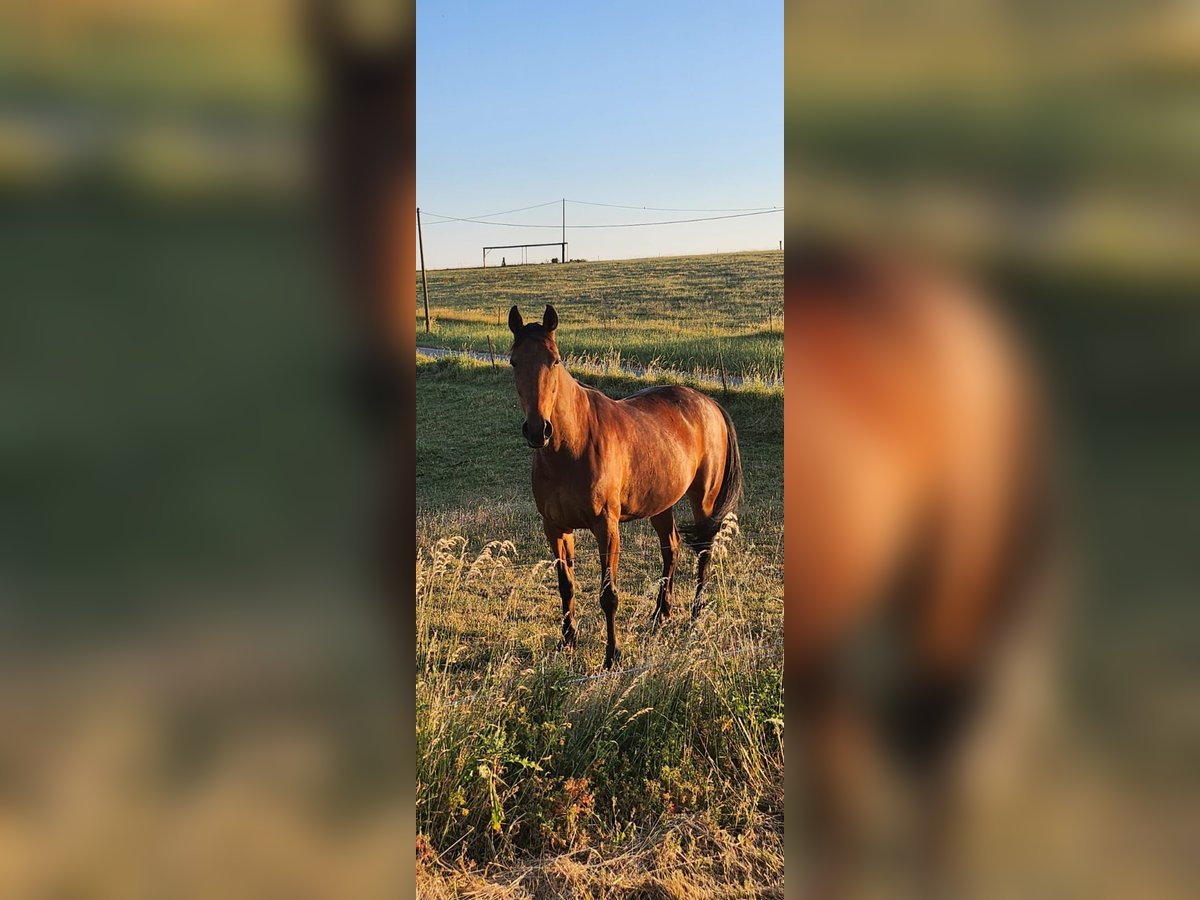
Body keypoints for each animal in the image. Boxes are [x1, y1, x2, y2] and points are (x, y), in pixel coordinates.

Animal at [504, 303, 739, 672]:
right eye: (514, 361)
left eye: (554, 360)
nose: (537, 429)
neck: (572, 445)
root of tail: (709, 404)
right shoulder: (555, 528)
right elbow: (566, 586)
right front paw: (567, 642)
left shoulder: (606, 527)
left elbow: (608, 595)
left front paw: (612, 655)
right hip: (662, 504)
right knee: (671, 548)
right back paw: (661, 615)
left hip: (704, 500)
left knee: (703, 551)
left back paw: (695, 616)